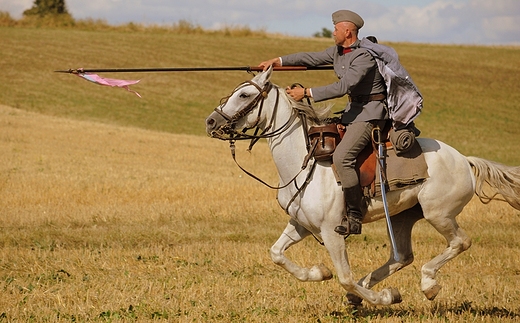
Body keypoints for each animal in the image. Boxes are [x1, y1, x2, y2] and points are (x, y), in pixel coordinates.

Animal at [204, 67, 520, 306]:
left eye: (245, 95)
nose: (211, 121)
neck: (303, 163)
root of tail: (464, 160)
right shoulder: (301, 224)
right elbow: (277, 254)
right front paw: (319, 272)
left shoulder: (332, 232)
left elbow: (343, 276)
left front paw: (384, 297)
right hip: (403, 217)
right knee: (401, 257)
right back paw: (367, 289)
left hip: (438, 214)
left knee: (459, 242)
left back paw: (427, 284)